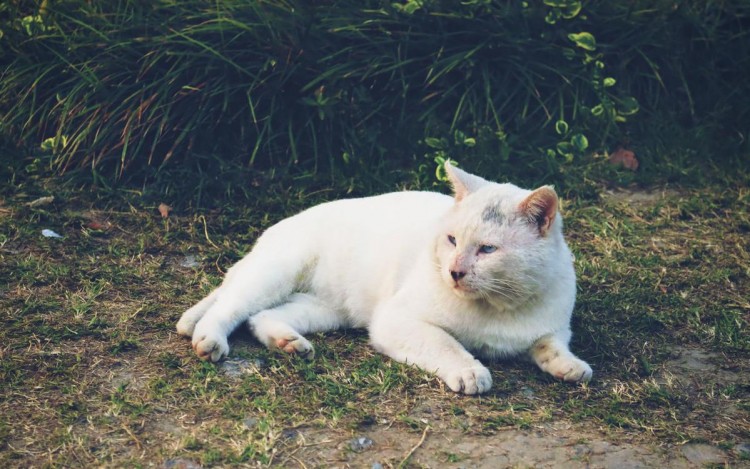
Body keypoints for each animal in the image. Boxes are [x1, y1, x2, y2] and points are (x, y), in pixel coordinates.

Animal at [176, 163, 592, 394]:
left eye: (488, 250)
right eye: (452, 240)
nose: (454, 271)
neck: (498, 307)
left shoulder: (553, 328)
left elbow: (551, 345)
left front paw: (569, 366)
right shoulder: (397, 320)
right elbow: (445, 344)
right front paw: (471, 370)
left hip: (326, 310)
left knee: (261, 316)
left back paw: (288, 344)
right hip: (274, 273)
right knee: (229, 307)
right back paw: (210, 341)